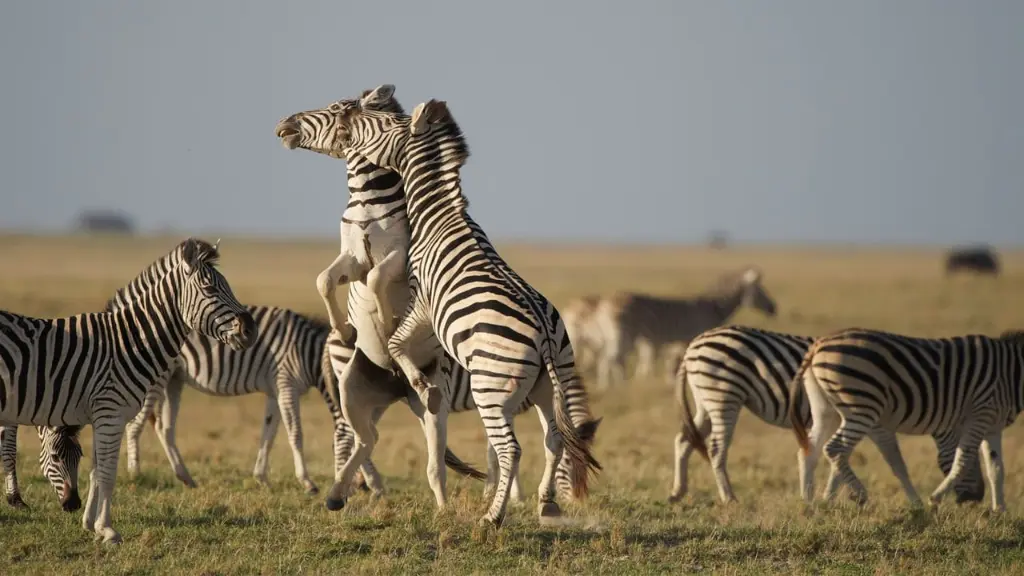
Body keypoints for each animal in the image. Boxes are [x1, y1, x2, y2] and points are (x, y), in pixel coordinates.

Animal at [0, 237, 256, 541]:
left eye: (227, 286)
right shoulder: (110, 412)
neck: (129, 341)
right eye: (210, 289)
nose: (251, 329)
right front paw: (108, 530)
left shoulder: (102, 415)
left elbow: (97, 471)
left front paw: (91, 524)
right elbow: (108, 474)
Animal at [278, 86, 598, 510]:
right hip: (369, 388)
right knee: (368, 438)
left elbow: (386, 306)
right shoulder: (364, 263)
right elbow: (329, 281)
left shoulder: (413, 283)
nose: (284, 124)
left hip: (473, 392)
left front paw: (390, 331)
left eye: (341, 110)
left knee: (477, 449)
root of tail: (546, 335)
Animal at [593, 266, 774, 387]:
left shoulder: (680, 343)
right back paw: (618, 387)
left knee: (606, 359)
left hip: (613, 337)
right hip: (623, 335)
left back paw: (608, 387)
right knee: (612, 358)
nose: (774, 308)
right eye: (760, 290)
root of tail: (604, 303)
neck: (712, 308)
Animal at [667, 325, 987, 504]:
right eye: (971, 458)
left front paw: (828, 498)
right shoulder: (873, 421)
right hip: (723, 396)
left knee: (684, 440)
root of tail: (693, 345)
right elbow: (874, 458)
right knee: (715, 448)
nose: (978, 498)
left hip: (705, 400)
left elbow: (836, 458)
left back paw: (678, 492)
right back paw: (729, 497)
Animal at [786, 325, 1019, 508]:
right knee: (834, 448)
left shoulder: (991, 422)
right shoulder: (983, 411)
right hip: (861, 409)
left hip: (826, 409)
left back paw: (808, 504)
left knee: (810, 450)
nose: (976, 498)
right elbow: (900, 461)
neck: (1012, 373)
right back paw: (859, 494)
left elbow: (996, 467)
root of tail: (818, 345)